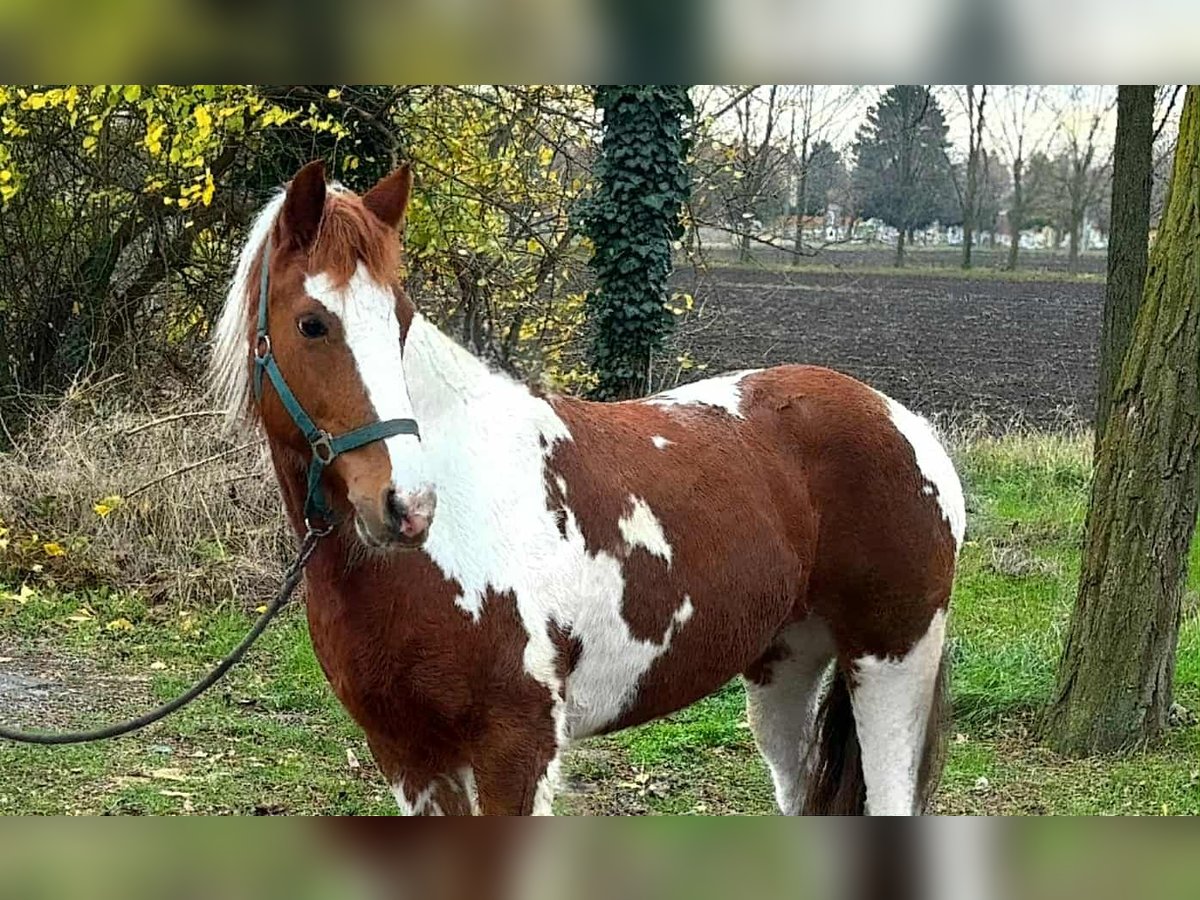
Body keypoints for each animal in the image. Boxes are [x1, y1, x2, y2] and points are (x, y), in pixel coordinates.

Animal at [210, 159, 965, 816]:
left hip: (890, 663)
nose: (407, 506)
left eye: (398, 320)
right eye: (312, 323)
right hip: (785, 667)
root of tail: (906, 422)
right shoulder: (408, 753)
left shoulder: (516, 746)